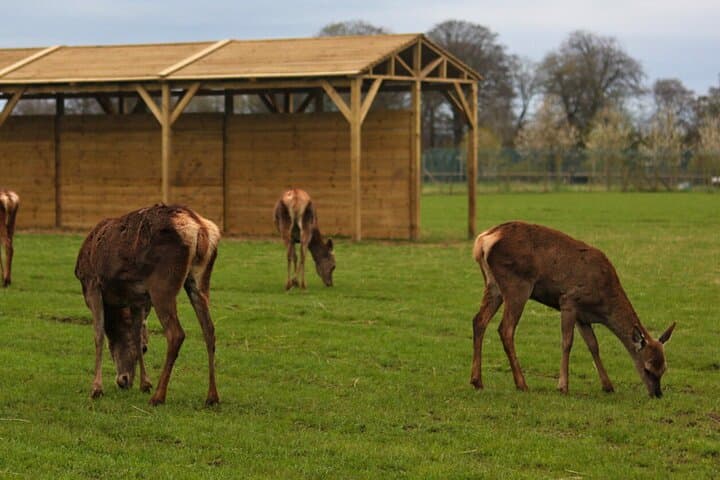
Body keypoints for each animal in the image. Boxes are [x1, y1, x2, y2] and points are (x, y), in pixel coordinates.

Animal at [75, 204, 220, 406]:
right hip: (200, 279)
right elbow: (137, 333)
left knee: (176, 333)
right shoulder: (138, 299)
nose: (124, 381)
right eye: (145, 348)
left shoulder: (91, 284)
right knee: (209, 330)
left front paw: (96, 389)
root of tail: (200, 227)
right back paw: (212, 397)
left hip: (162, 283)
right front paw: (145, 384)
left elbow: (98, 335)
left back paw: (158, 396)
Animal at [470, 221, 676, 398]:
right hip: (518, 285)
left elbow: (593, 345)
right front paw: (563, 386)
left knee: (479, 320)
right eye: (648, 368)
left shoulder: (583, 317)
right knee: (505, 329)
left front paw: (608, 386)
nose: (657, 394)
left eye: (664, 368)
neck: (603, 303)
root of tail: (484, 240)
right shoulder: (569, 300)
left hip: (493, 284)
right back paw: (521, 384)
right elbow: (567, 342)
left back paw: (477, 381)